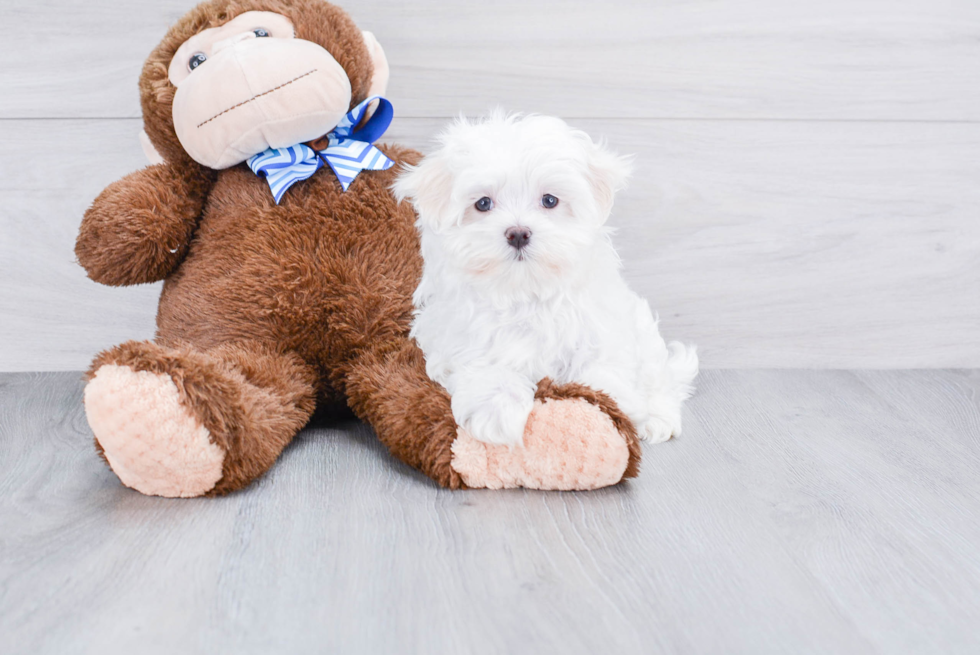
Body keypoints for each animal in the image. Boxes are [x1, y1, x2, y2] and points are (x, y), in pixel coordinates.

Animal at [392, 115, 696, 448]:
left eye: (549, 200)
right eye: (483, 204)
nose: (518, 233)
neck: (525, 292)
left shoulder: (600, 331)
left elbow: (602, 369)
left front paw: (605, 408)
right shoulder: (460, 336)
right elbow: (487, 364)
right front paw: (497, 411)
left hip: (644, 333)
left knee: (660, 378)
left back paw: (658, 417)